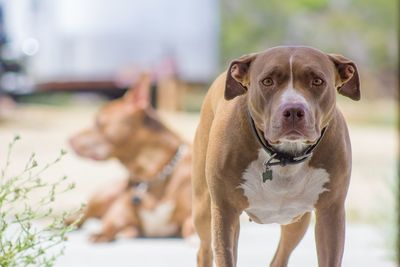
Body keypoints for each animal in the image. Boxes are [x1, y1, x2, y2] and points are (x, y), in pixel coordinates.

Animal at [67, 75, 194, 243]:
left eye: (98, 121)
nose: (69, 139)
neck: (150, 177)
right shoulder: (116, 215)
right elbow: (109, 225)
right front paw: (101, 233)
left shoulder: (191, 218)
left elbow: (191, 228)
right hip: (102, 196)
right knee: (84, 215)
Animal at [192, 47, 360, 266]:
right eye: (267, 81)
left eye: (317, 81)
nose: (294, 110)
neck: (285, 156)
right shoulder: (225, 211)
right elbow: (224, 255)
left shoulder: (330, 213)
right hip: (204, 208)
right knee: (205, 250)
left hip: (297, 221)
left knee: (281, 256)